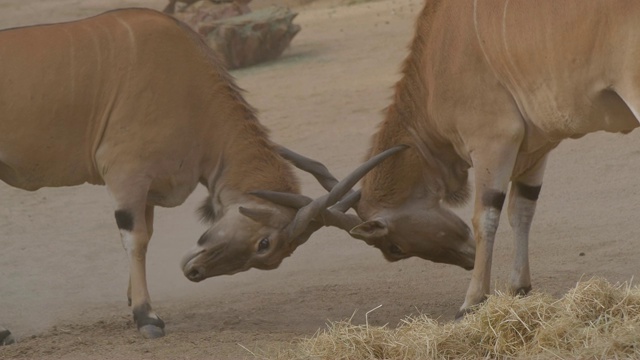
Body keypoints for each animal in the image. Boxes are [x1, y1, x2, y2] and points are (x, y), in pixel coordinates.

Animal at [0, 7, 400, 342]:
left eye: (270, 256)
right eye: (265, 244)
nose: (194, 272)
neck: (189, 85)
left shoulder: (146, 188)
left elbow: (146, 237)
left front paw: (133, 303)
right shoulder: (127, 174)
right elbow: (136, 239)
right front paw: (147, 317)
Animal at [258, 0, 640, 320]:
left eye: (394, 247)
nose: (468, 259)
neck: (435, 60)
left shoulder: (492, 140)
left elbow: (485, 217)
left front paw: (472, 301)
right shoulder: (536, 149)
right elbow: (522, 211)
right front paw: (519, 289)